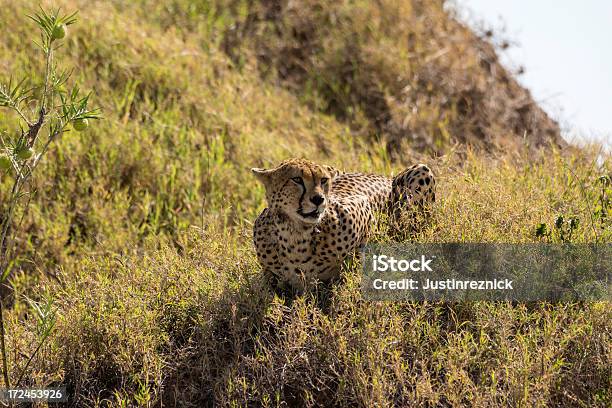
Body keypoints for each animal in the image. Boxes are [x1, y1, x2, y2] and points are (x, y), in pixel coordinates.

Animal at [252, 159, 436, 290]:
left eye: (323, 180)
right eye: (296, 179)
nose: (319, 199)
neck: (295, 234)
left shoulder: (364, 208)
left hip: (421, 172)